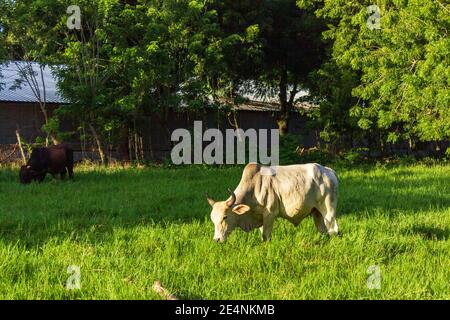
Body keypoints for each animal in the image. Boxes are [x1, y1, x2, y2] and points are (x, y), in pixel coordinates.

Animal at [206, 164, 340, 241]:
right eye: (213, 219)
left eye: (225, 217)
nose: (216, 239)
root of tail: (328, 171)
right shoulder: (261, 218)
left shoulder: (270, 214)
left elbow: (266, 237)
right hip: (316, 212)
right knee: (323, 230)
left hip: (328, 211)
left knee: (333, 230)